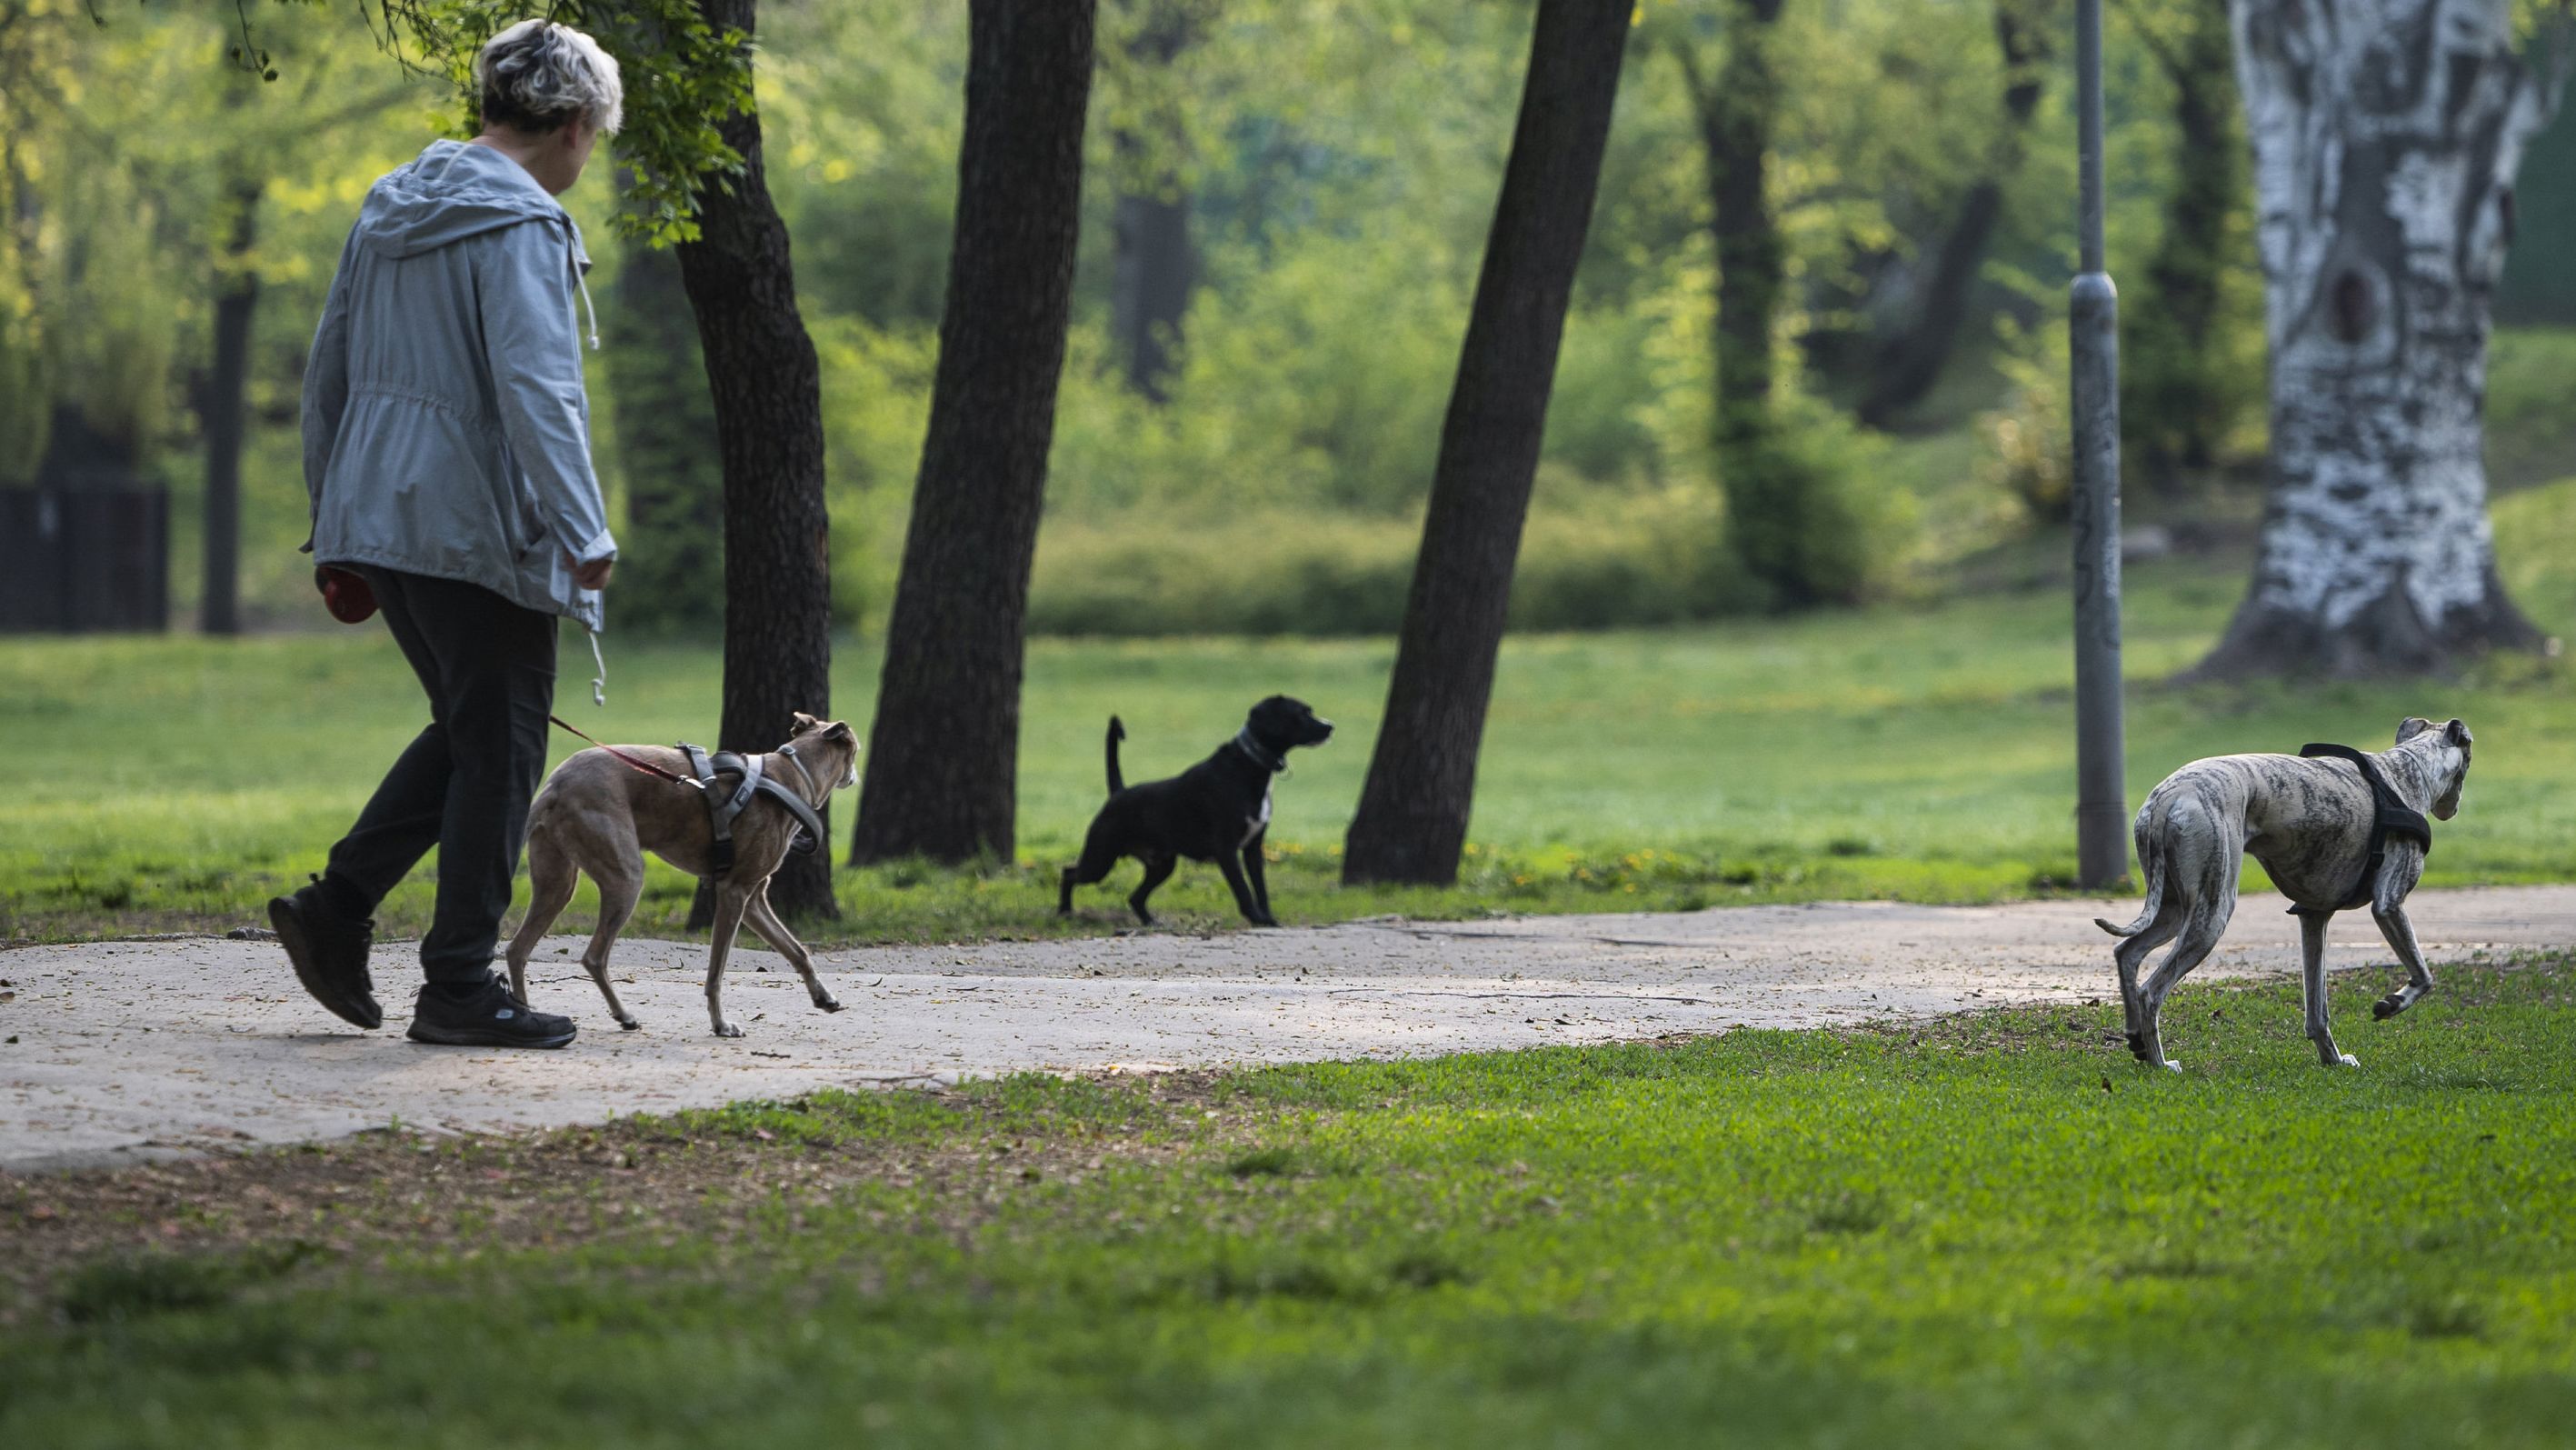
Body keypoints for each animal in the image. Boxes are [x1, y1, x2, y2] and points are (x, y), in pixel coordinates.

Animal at [1051, 695, 1329, 926]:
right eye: (1301, 713)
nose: (1330, 726)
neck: (1248, 766)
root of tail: (1119, 792)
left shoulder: (1253, 849)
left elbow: (1261, 889)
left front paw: (1268, 918)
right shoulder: (1226, 849)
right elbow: (1243, 889)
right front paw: (1256, 918)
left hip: (1162, 865)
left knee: (1135, 897)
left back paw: (1150, 922)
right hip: (1100, 859)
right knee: (1069, 873)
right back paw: (1065, 911)